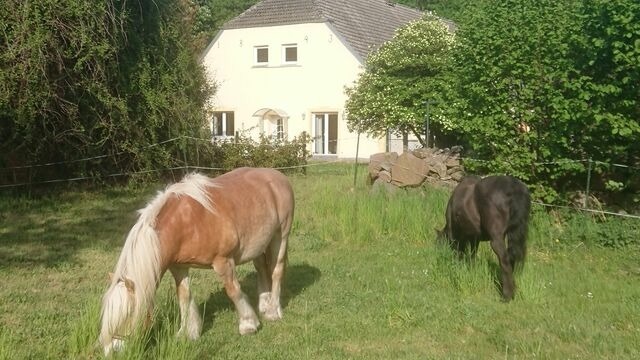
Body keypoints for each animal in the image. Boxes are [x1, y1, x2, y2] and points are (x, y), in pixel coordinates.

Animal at [98, 168, 296, 354]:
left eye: (128, 314)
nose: (112, 350)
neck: (186, 223)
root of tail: (277, 176)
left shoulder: (223, 262)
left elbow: (233, 291)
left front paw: (248, 325)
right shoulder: (178, 268)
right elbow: (184, 296)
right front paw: (187, 333)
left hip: (280, 236)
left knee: (276, 271)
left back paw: (273, 311)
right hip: (259, 244)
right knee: (261, 268)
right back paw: (264, 305)